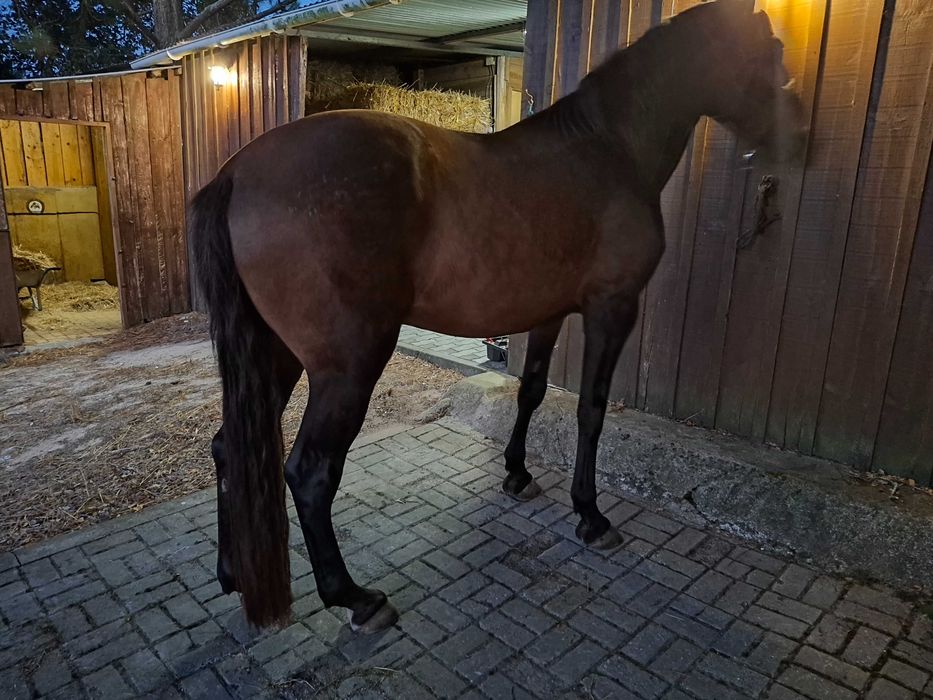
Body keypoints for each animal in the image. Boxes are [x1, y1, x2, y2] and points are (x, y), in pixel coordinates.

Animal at [190, 0, 808, 632]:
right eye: (772, 51)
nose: (800, 138)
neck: (607, 150)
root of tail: (237, 173)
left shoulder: (548, 313)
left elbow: (531, 391)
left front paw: (518, 473)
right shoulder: (612, 308)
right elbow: (591, 410)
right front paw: (590, 515)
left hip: (275, 356)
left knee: (227, 447)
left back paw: (233, 572)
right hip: (348, 364)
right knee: (311, 473)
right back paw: (356, 598)